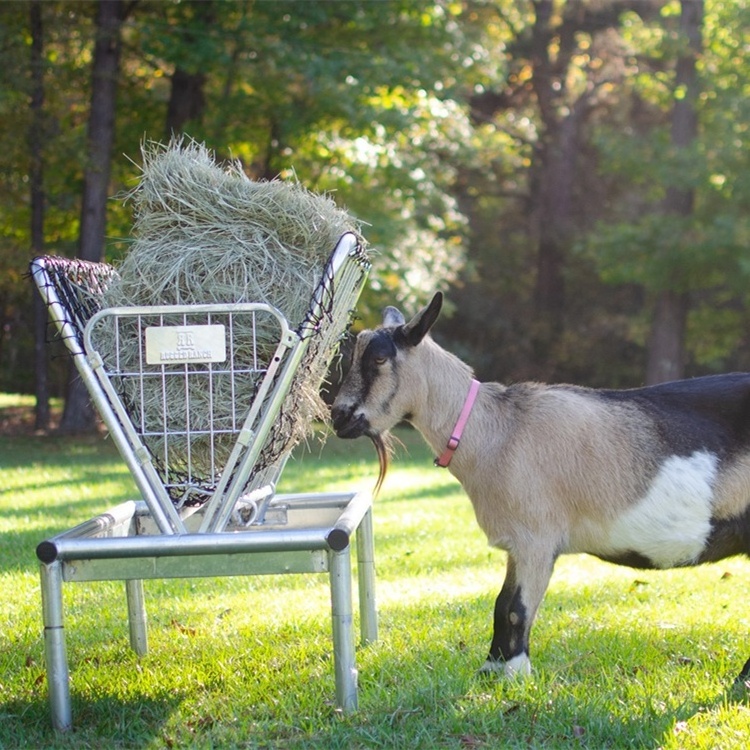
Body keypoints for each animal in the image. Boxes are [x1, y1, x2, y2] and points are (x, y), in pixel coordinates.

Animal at [334, 292, 750, 688]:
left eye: (380, 358)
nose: (339, 416)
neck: (496, 432)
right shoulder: (517, 545)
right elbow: (500, 605)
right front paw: (491, 671)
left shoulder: (536, 537)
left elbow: (516, 609)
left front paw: (515, 674)